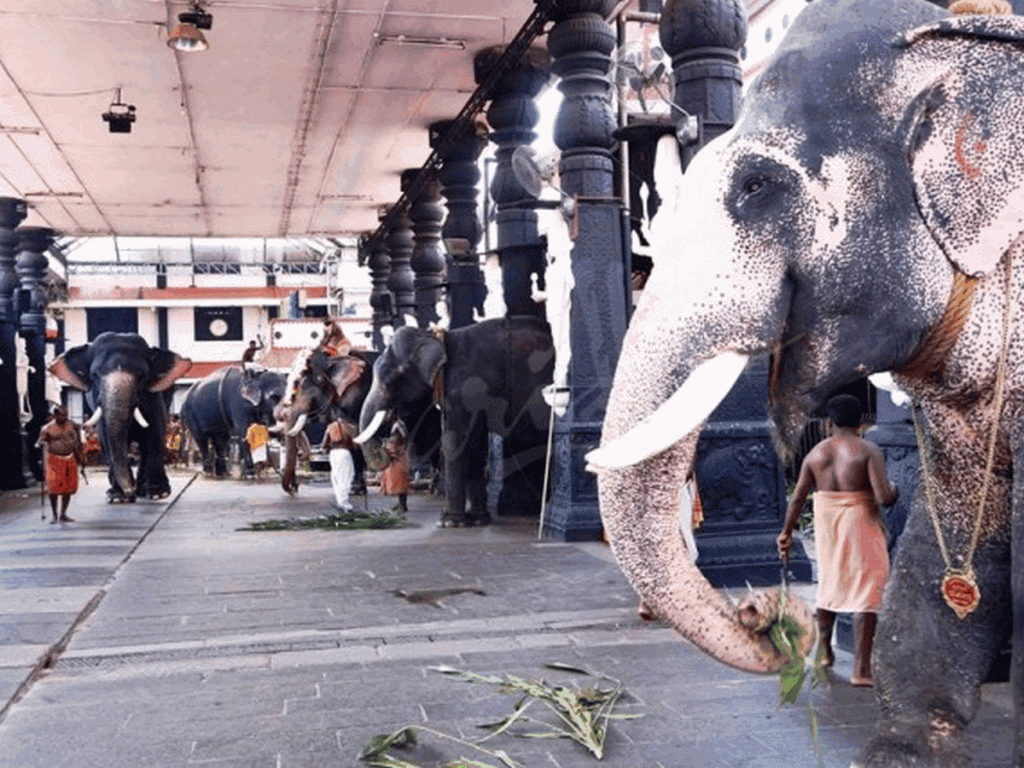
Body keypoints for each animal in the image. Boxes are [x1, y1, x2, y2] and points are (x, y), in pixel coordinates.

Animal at [49, 331, 192, 505]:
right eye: (95, 375)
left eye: (142, 376)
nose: (130, 491)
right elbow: (106, 437)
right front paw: (118, 497)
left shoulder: (153, 397)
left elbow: (154, 431)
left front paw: (158, 494)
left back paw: (144, 490)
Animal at [274, 348, 378, 493]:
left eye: (298, 384)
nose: (295, 487)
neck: (331, 360)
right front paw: (352, 489)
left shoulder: (357, 391)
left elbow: (355, 434)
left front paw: (356, 489)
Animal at [360, 315, 552, 528]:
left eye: (391, 383)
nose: (394, 423)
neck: (437, 338)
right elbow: (476, 445)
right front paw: (478, 520)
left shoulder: (465, 388)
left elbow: (454, 442)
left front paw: (449, 523)